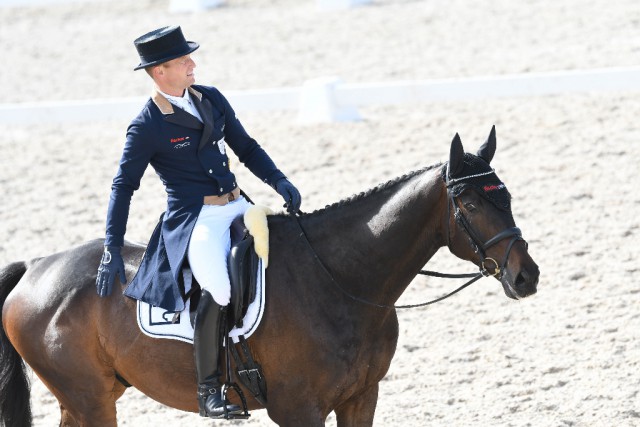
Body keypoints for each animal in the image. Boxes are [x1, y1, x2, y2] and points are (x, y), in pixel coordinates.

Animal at [0, 129, 540, 426]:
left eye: (509, 196)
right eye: (470, 203)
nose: (526, 275)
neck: (341, 282)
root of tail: (36, 269)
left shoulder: (361, 397)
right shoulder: (299, 411)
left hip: (91, 397)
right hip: (91, 401)